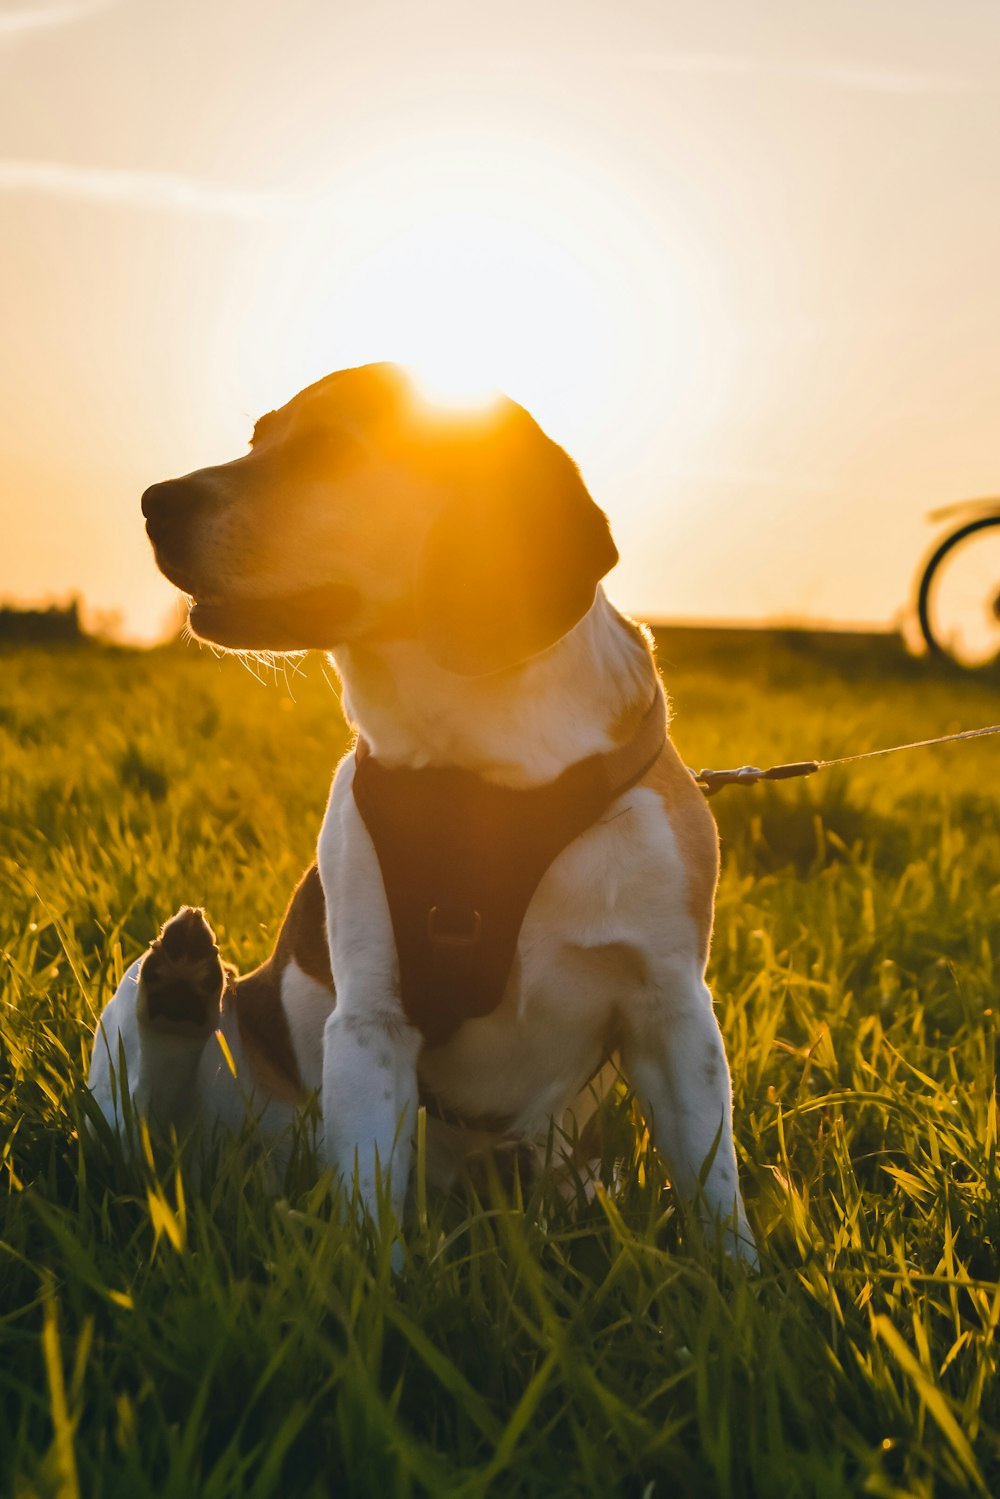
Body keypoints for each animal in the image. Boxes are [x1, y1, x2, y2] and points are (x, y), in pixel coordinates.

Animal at [88, 362, 758, 1265]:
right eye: (259, 436)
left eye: (331, 451)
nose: (154, 501)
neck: (482, 770)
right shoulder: (372, 1016)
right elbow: (371, 1207)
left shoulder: (673, 1014)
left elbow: (716, 1195)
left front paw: (743, 1285)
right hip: (170, 1037)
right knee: (150, 1132)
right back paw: (180, 981)